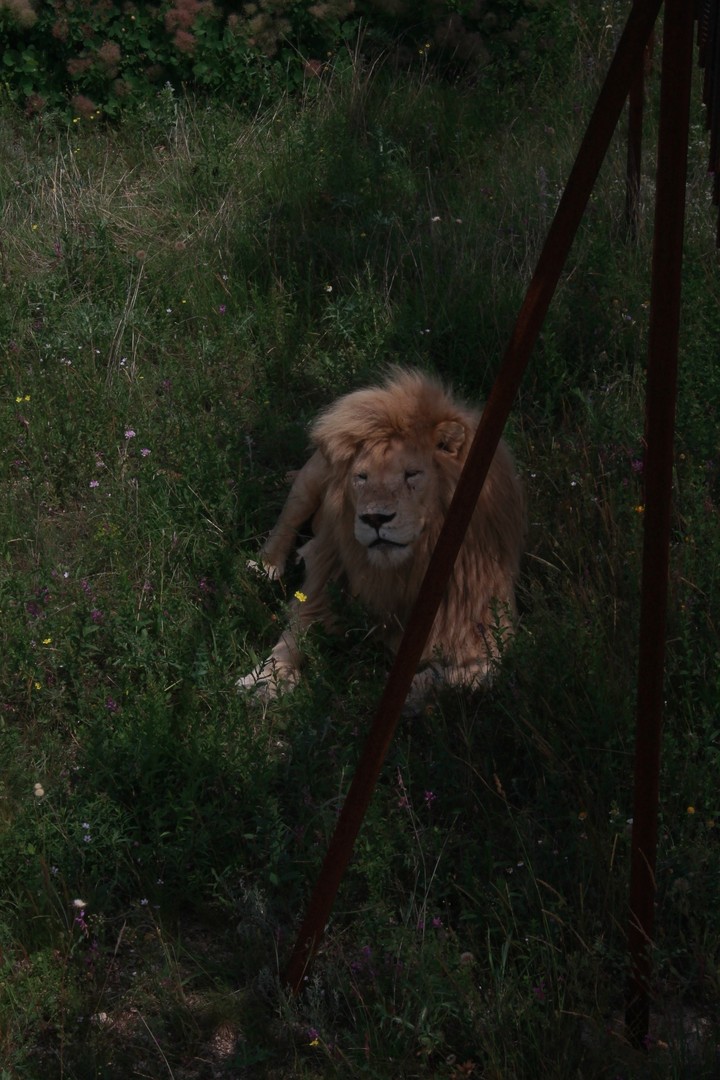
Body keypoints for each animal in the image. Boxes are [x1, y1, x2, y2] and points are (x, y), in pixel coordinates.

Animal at [237, 367, 525, 706]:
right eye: (361, 478)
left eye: (412, 474)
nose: (374, 518)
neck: (409, 567)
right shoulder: (324, 587)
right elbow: (290, 637)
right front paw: (265, 680)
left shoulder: (490, 628)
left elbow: (468, 675)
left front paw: (398, 691)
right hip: (311, 478)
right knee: (288, 517)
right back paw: (266, 564)